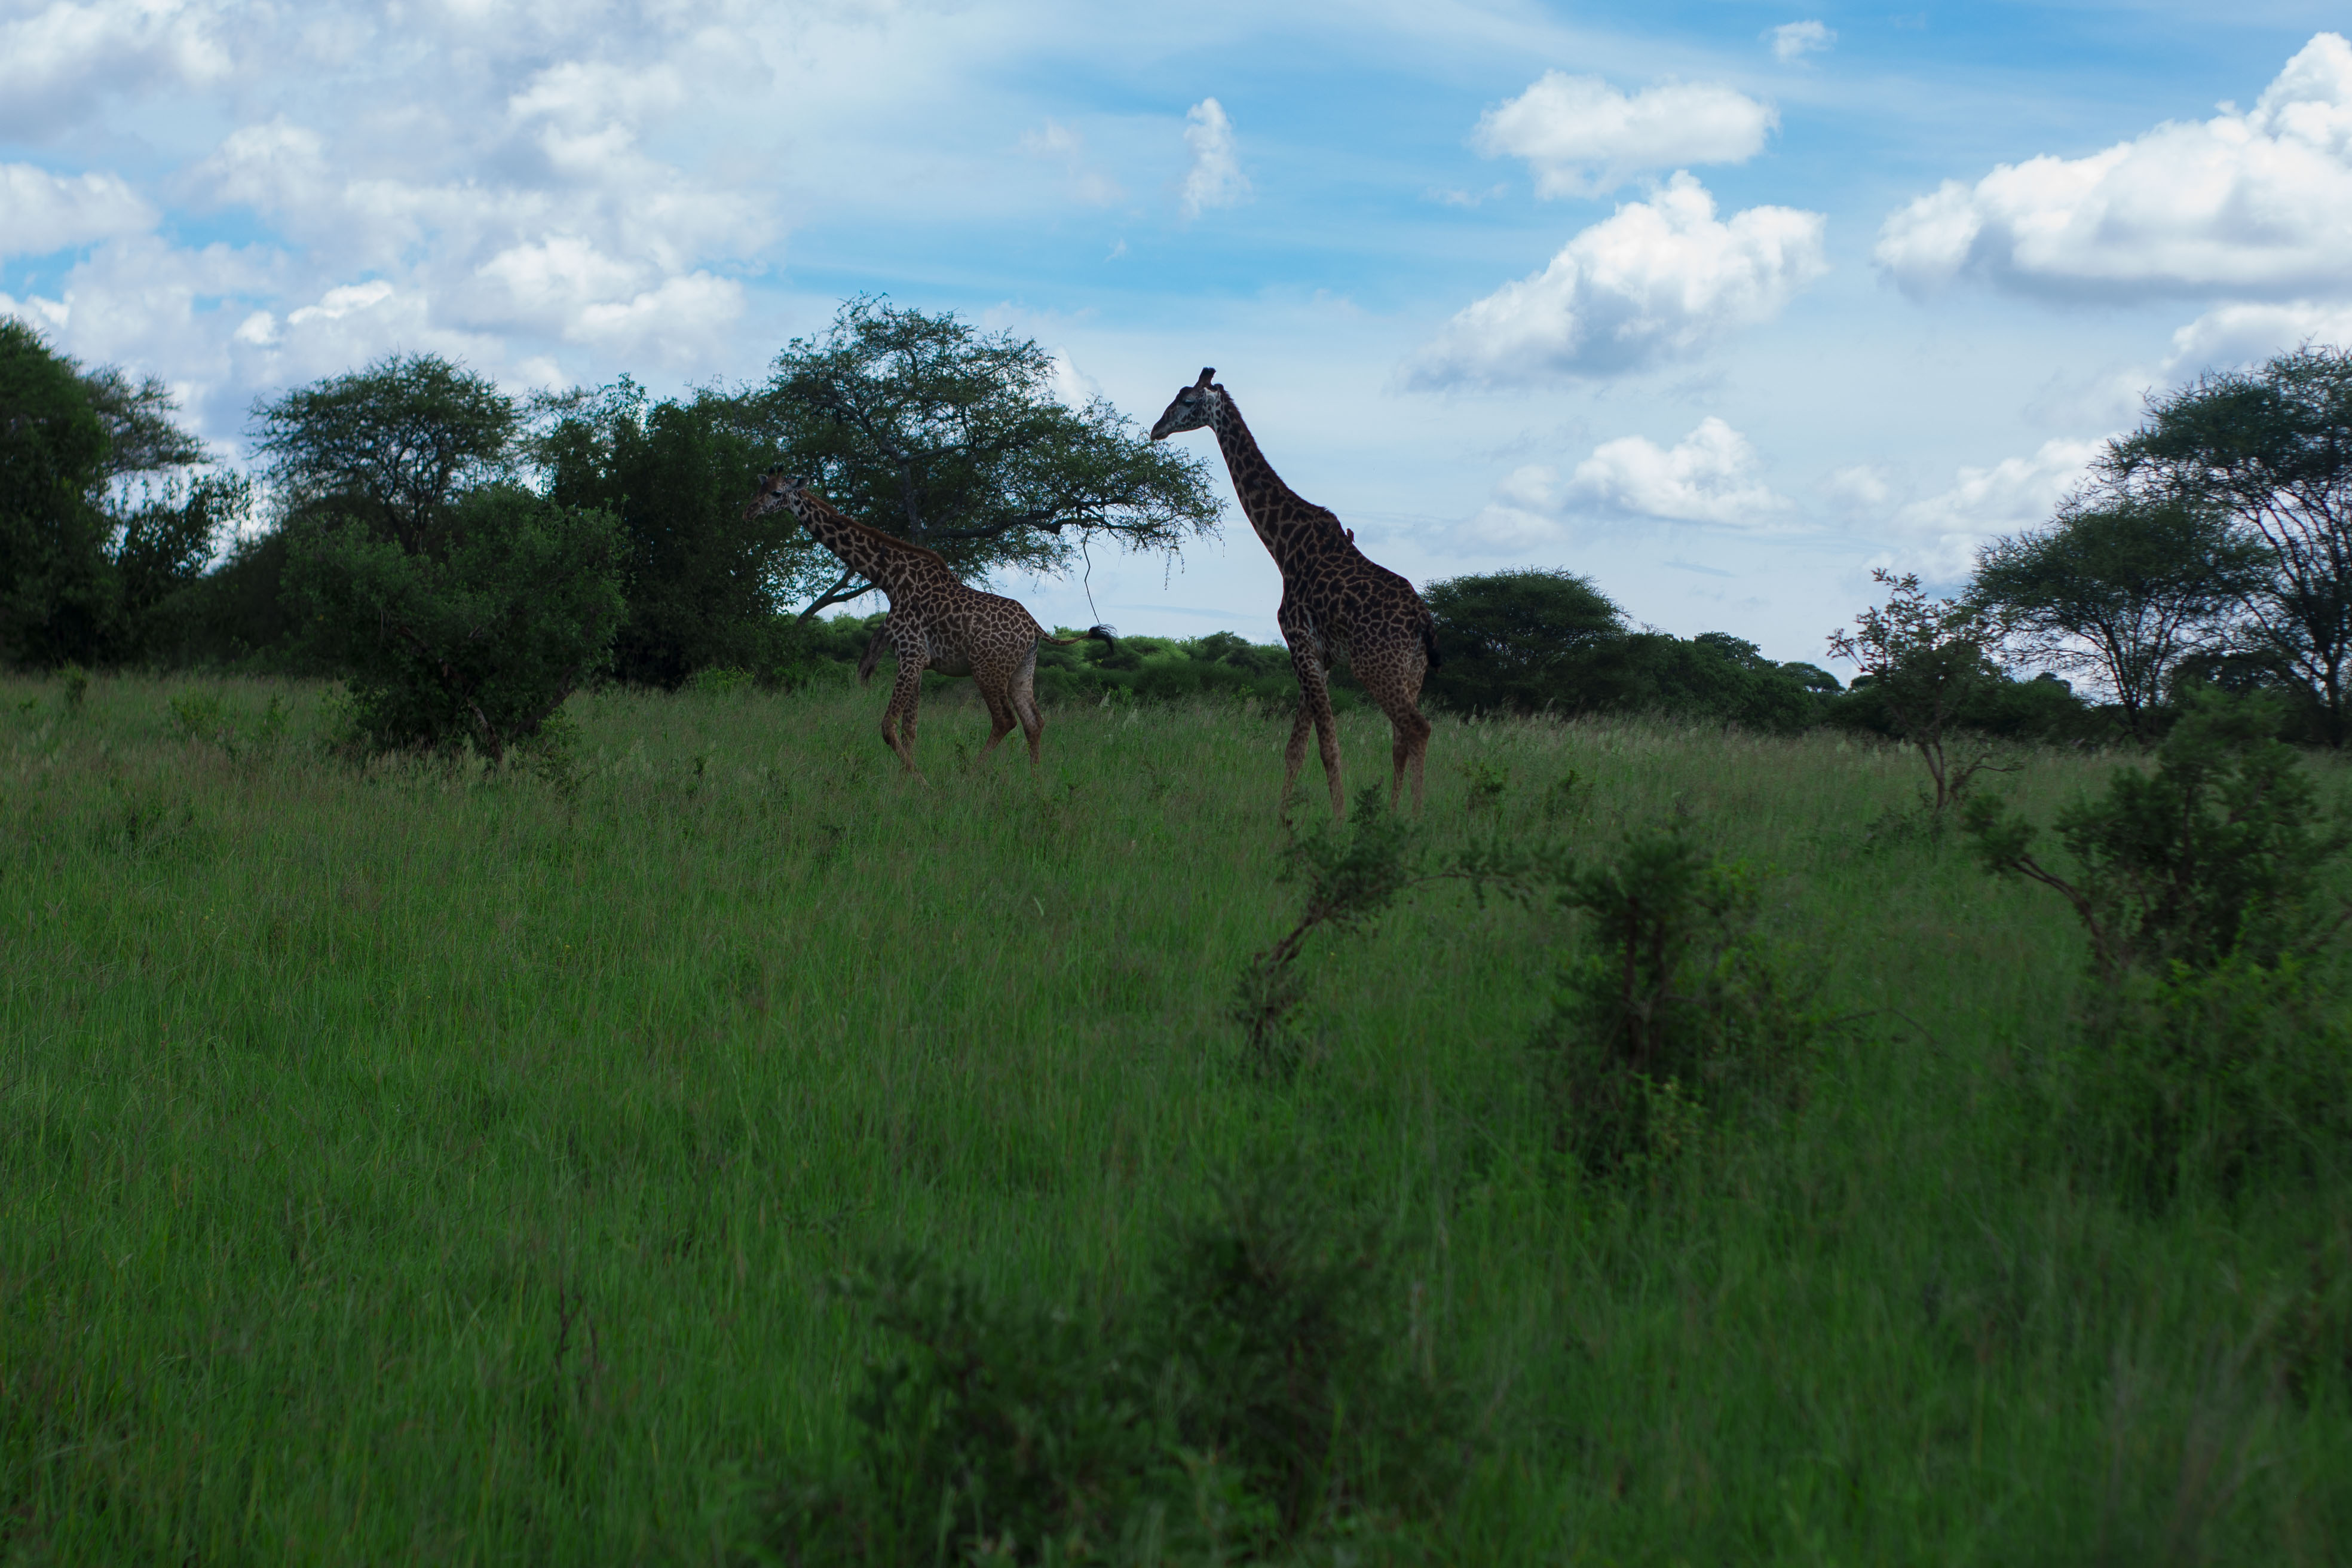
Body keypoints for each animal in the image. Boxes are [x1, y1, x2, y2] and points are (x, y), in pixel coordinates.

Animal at [752, 470, 1119, 780]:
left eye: (776, 493)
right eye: (758, 489)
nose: (749, 512)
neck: (889, 579)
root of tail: (1036, 629)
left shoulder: (911, 655)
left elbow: (888, 727)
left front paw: (920, 782)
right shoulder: (915, 660)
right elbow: (910, 729)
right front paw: (905, 782)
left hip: (987, 668)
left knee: (1005, 720)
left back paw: (970, 776)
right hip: (1021, 671)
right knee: (1035, 722)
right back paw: (1035, 782)